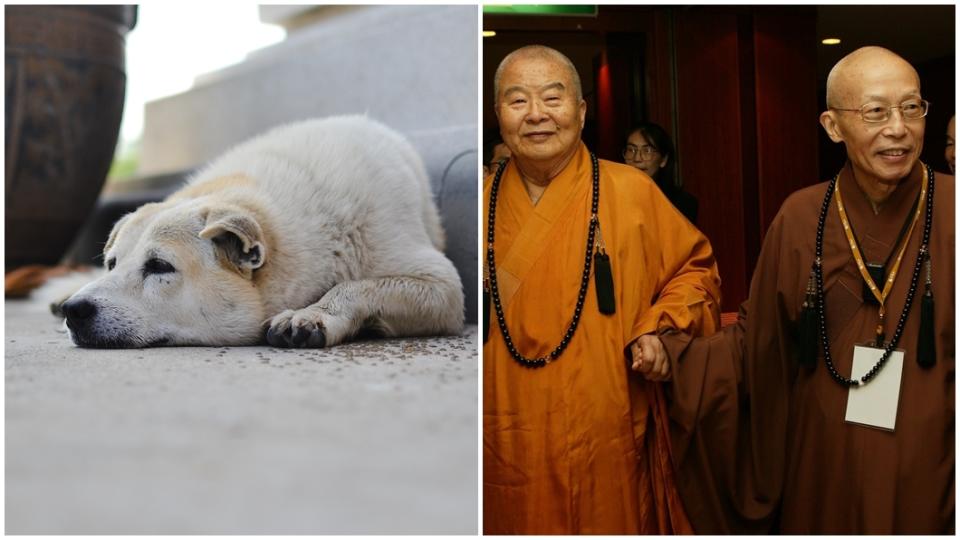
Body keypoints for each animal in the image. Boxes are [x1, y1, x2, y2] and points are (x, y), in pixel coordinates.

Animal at [60, 116, 464, 348]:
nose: (73, 310)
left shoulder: (441, 287)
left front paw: (311, 314)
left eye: (160, 266)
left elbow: (355, 285)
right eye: (112, 264)